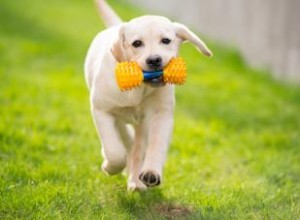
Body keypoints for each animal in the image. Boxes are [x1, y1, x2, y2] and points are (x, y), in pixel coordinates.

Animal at [83, 0, 212, 191]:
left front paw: (151, 172)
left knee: (137, 148)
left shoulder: (162, 115)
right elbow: (114, 151)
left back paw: (135, 181)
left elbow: (156, 146)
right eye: (137, 43)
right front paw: (110, 167)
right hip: (117, 117)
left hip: (143, 124)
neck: (139, 88)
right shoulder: (101, 110)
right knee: (124, 138)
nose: (154, 60)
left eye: (166, 40)